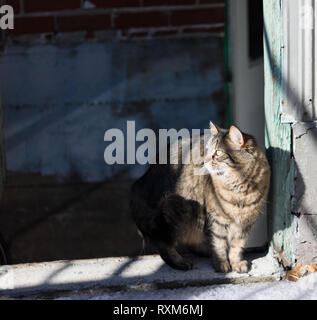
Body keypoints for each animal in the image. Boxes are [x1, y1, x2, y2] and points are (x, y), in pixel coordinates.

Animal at [129, 122, 270, 272]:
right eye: (208, 151)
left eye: (218, 153)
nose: (205, 161)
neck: (240, 186)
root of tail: (140, 182)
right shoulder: (217, 219)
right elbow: (219, 243)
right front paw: (221, 264)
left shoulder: (245, 223)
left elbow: (236, 246)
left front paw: (236, 263)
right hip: (174, 205)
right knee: (163, 244)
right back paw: (180, 263)